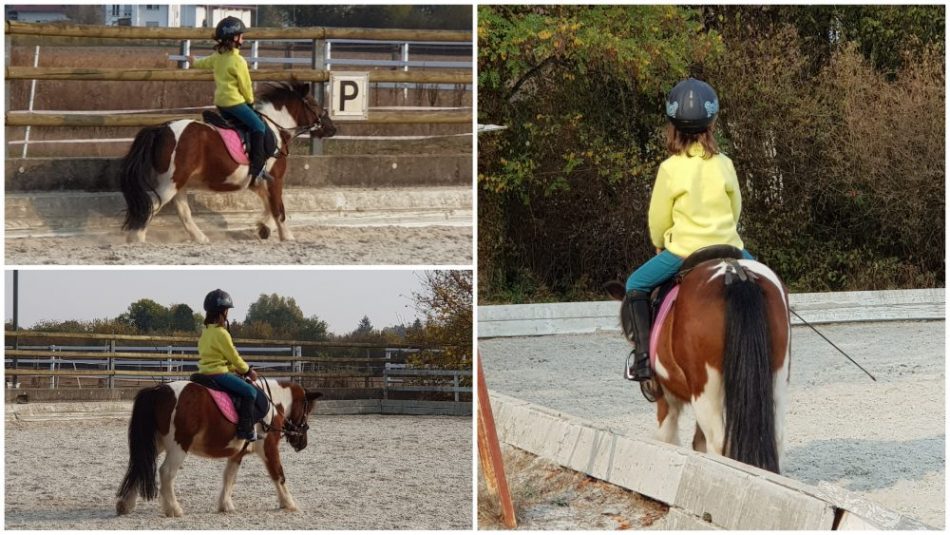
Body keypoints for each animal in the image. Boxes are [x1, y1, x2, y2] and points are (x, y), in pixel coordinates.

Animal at [114, 378, 324, 516]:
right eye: (308, 411)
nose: (302, 443)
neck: (273, 405)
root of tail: (158, 390)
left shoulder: (238, 453)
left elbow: (229, 477)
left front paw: (225, 505)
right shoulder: (269, 449)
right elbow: (279, 475)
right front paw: (289, 503)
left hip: (156, 444)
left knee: (139, 466)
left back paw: (125, 505)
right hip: (178, 447)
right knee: (166, 473)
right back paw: (174, 509)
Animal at [119, 81, 336, 243]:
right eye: (314, 105)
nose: (332, 128)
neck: (275, 128)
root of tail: (161, 129)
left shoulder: (257, 182)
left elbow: (269, 205)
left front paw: (264, 228)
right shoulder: (275, 179)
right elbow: (279, 208)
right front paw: (287, 236)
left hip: (178, 183)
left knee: (183, 212)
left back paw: (200, 238)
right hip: (170, 183)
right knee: (152, 206)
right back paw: (137, 238)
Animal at [608, 260, 796, 474]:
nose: (648, 387)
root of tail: (737, 273)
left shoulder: (667, 396)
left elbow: (668, 438)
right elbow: (699, 443)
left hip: (705, 392)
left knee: (718, 443)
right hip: (776, 382)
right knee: (776, 439)